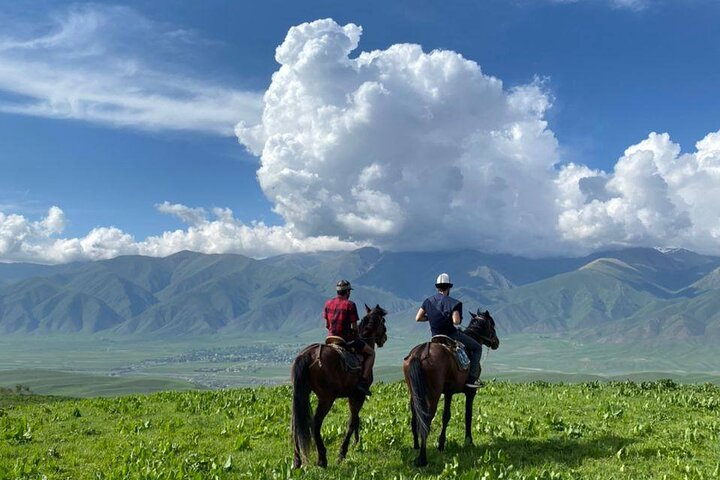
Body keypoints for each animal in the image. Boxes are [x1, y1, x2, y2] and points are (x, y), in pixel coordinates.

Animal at [292, 306, 388, 466]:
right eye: (383, 321)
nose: (384, 338)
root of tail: (307, 355)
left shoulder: (352, 395)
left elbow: (356, 419)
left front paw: (356, 444)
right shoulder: (358, 395)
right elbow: (352, 421)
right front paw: (343, 453)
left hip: (301, 394)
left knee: (296, 424)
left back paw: (297, 461)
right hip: (326, 398)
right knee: (315, 423)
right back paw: (322, 459)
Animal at [404, 310, 500, 466]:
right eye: (492, 325)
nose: (496, 342)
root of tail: (421, 352)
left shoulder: (448, 392)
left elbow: (446, 416)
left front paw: (441, 444)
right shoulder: (470, 392)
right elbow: (467, 415)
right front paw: (469, 441)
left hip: (414, 393)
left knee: (415, 418)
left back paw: (416, 447)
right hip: (433, 395)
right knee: (426, 419)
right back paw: (422, 459)